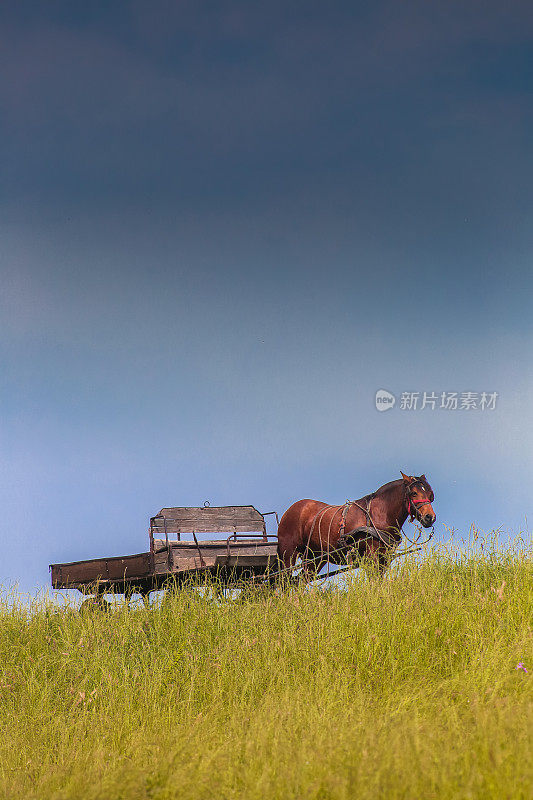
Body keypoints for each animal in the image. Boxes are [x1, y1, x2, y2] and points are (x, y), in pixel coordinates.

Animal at [276, 472, 434, 580]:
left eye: (430, 494)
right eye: (413, 493)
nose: (430, 517)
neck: (379, 514)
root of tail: (290, 510)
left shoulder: (385, 557)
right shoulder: (371, 556)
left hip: (315, 557)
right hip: (288, 553)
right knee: (284, 581)